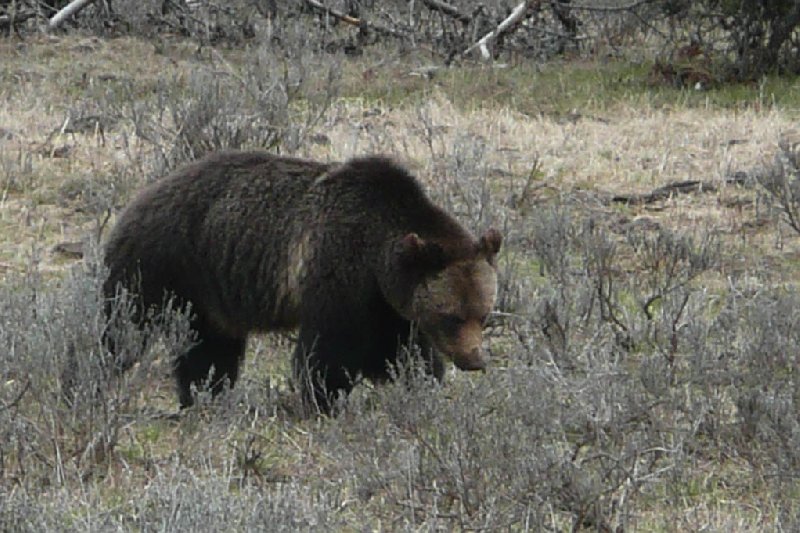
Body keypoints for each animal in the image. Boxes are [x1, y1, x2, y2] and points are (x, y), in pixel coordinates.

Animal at [101, 150, 500, 412]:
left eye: (482, 314)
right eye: (452, 317)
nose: (474, 359)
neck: (378, 255)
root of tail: (136, 201)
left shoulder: (386, 302)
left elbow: (402, 349)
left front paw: (421, 379)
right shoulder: (337, 269)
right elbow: (330, 350)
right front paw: (325, 398)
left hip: (209, 295)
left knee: (209, 347)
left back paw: (205, 395)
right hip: (165, 264)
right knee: (124, 325)